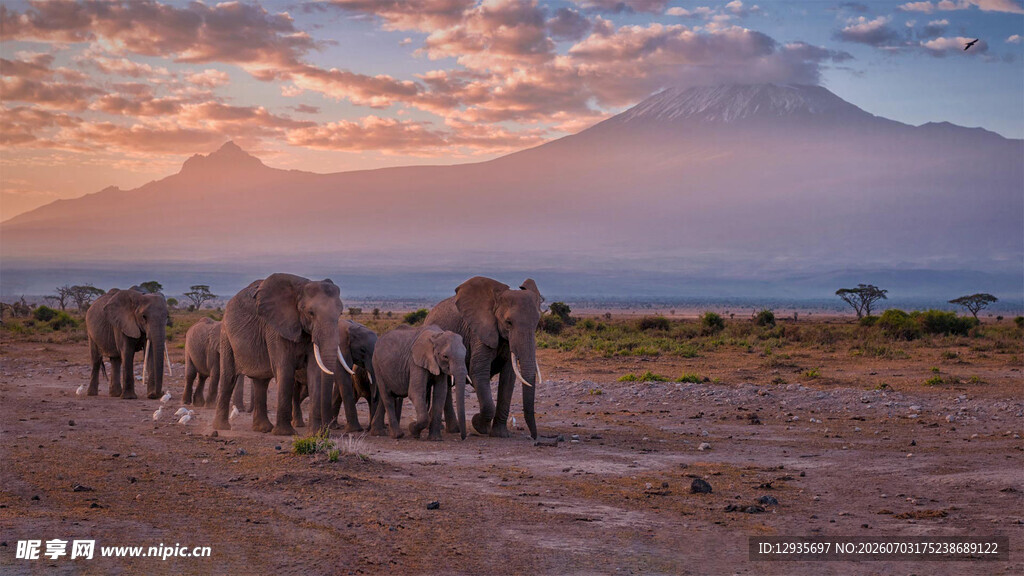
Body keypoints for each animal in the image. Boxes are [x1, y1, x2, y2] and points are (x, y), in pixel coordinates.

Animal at [212, 273, 348, 435]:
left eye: (340, 313)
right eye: (311, 313)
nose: (325, 430)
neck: (300, 288)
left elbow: (314, 371)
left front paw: (315, 434)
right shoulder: (275, 328)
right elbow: (285, 369)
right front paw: (285, 433)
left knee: (261, 382)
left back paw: (263, 429)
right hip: (225, 335)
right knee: (229, 377)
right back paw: (222, 427)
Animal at [423, 276, 543, 439]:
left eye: (536, 323)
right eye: (509, 322)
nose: (534, 437)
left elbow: (509, 377)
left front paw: (499, 434)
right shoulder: (479, 332)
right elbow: (478, 372)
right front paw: (479, 425)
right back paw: (453, 429)